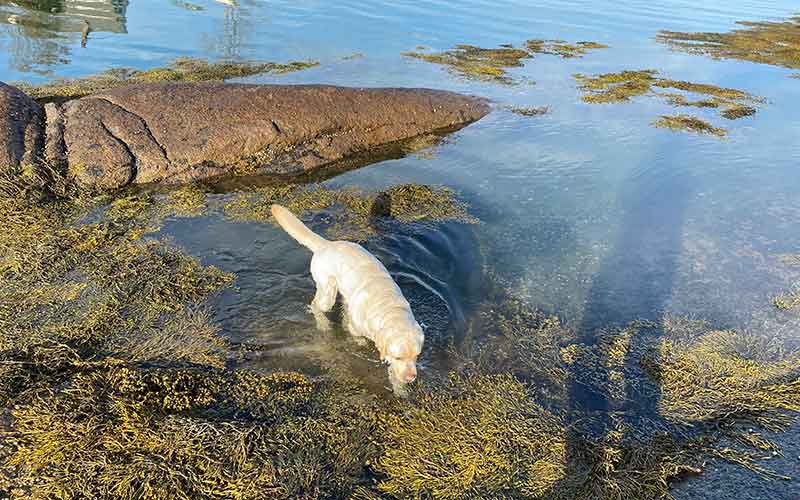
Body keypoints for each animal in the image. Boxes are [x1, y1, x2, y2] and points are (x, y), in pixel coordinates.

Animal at [272, 205, 424, 392]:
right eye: (398, 357)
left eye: (416, 355)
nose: (411, 378)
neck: (389, 308)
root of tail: (326, 244)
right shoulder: (358, 328)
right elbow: (355, 335)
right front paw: (360, 343)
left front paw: (401, 391)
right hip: (327, 291)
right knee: (315, 306)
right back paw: (324, 325)